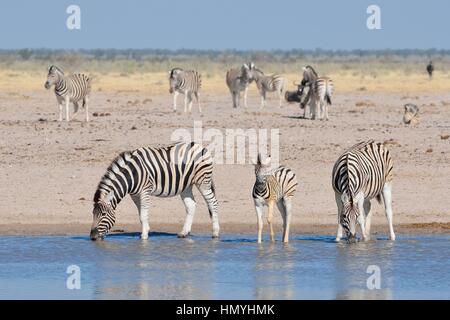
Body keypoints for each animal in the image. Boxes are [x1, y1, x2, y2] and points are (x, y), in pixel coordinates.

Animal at [89, 141, 219, 241]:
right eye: (93, 214)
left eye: (103, 214)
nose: (92, 237)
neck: (132, 174)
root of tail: (200, 146)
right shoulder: (134, 195)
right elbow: (141, 215)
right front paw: (145, 231)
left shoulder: (145, 190)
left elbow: (143, 215)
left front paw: (144, 237)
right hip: (186, 186)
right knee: (191, 206)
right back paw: (184, 233)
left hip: (203, 181)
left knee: (213, 203)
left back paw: (215, 233)